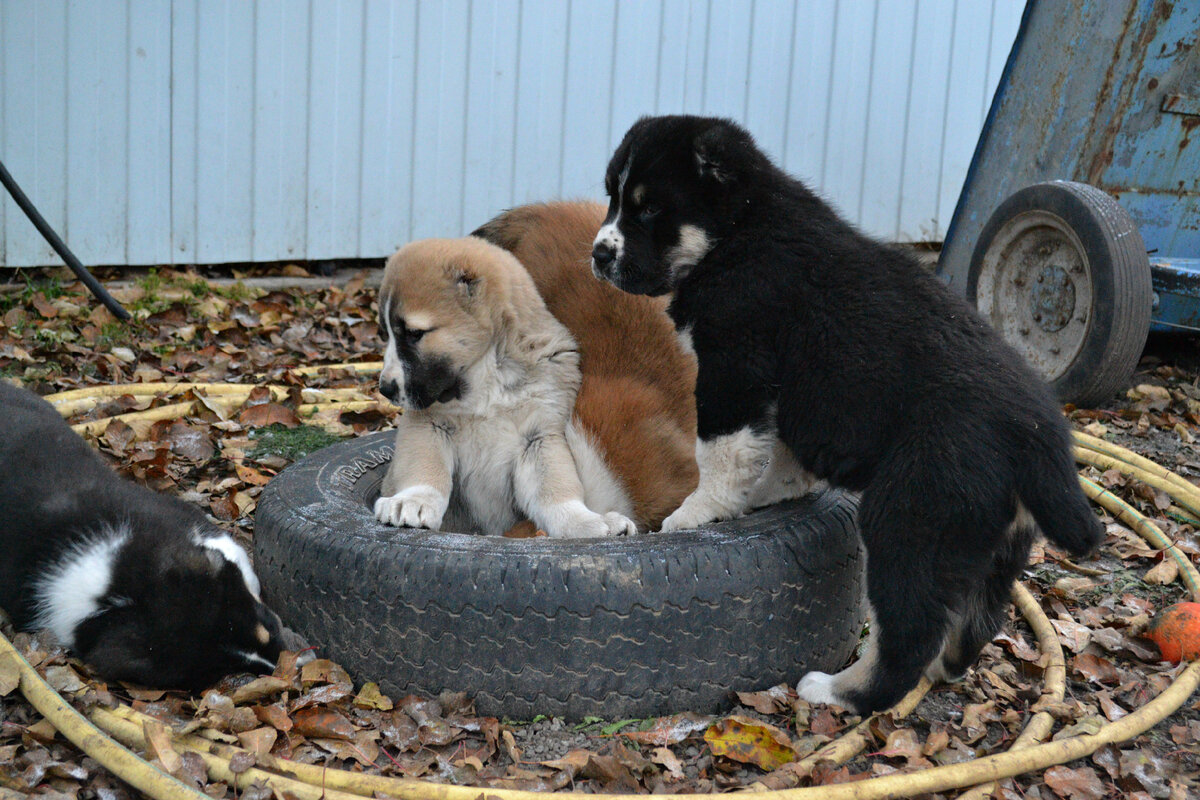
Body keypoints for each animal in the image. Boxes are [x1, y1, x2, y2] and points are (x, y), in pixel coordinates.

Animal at [374, 236, 638, 537]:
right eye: (385, 334)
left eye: (415, 334)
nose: (385, 389)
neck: (485, 382)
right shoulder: (427, 424)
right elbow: (423, 469)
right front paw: (412, 501)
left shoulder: (538, 436)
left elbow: (556, 491)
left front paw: (587, 522)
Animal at [592, 115, 1104, 714]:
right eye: (613, 197)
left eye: (650, 208)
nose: (599, 255)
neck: (738, 230)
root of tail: (1036, 436)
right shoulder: (786, 390)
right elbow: (780, 448)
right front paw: (767, 494)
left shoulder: (734, 362)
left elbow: (722, 450)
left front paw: (698, 513)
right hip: (989, 546)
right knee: (971, 625)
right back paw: (940, 669)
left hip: (909, 518)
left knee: (908, 633)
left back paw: (836, 691)